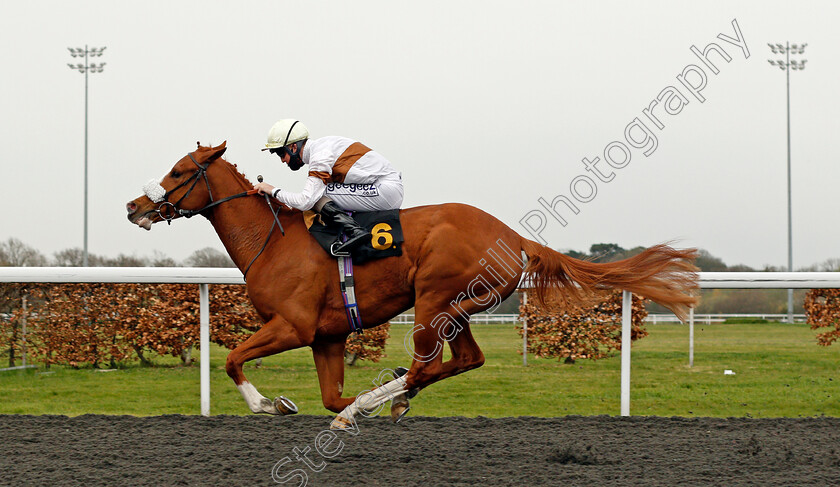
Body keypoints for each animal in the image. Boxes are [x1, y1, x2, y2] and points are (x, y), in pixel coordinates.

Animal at [126, 143, 704, 428]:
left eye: (178, 171)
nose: (134, 206)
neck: (274, 240)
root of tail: (510, 233)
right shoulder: (327, 336)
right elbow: (328, 395)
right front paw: (327, 403)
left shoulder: (294, 326)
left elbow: (232, 359)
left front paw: (273, 405)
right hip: (459, 308)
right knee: (465, 359)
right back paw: (393, 399)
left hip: (433, 299)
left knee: (429, 363)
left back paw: (377, 402)